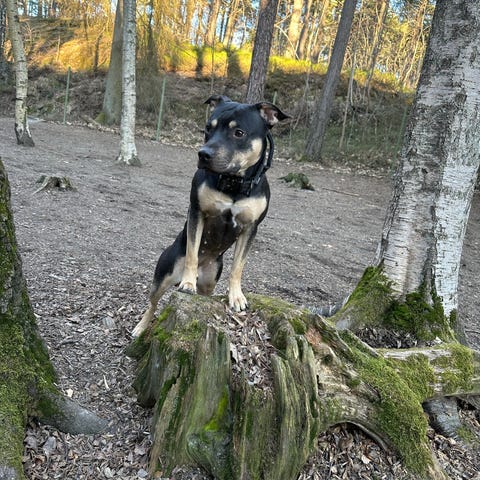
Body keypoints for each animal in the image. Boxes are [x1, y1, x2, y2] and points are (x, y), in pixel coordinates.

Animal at [132, 95, 289, 337]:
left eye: (239, 132)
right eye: (208, 128)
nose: (203, 154)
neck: (234, 183)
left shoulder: (250, 227)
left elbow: (238, 266)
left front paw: (236, 296)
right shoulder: (197, 212)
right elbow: (192, 251)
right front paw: (188, 283)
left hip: (209, 281)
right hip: (164, 275)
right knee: (153, 304)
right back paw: (141, 327)